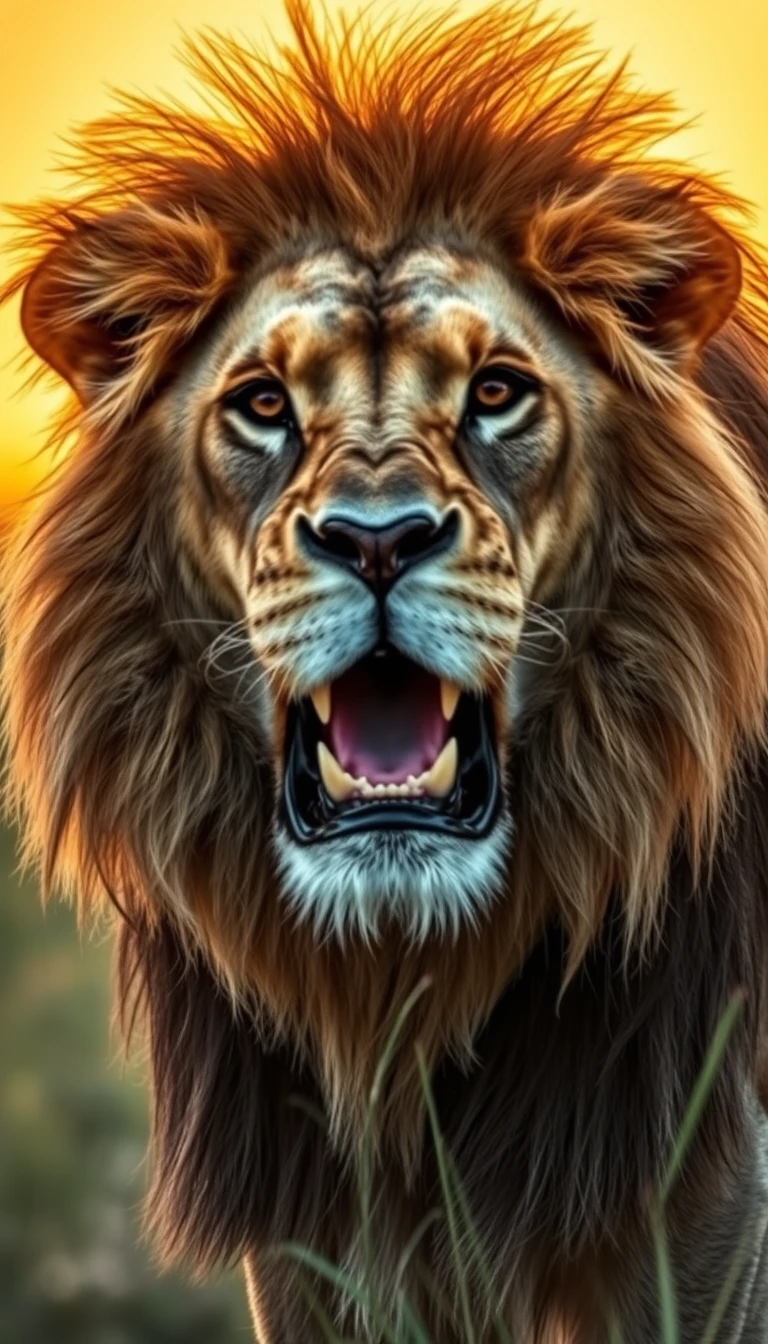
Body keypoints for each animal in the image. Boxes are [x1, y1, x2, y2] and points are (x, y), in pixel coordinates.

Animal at [5, 1, 768, 1339]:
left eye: (498, 392)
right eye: (262, 405)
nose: (376, 539)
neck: (406, 976)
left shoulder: (705, 1195)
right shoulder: (308, 1240)